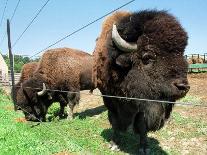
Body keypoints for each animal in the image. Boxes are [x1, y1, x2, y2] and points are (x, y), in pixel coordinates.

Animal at [93, 10, 190, 154]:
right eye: (147, 57)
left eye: (181, 54)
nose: (183, 86)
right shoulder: (109, 99)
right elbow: (115, 121)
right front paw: (114, 143)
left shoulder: (142, 106)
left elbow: (141, 125)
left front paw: (144, 147)